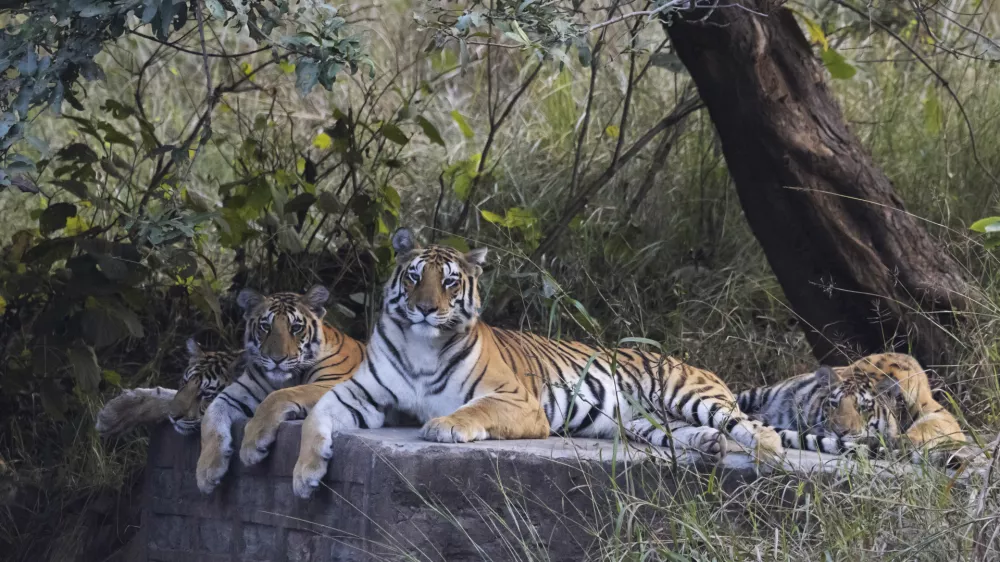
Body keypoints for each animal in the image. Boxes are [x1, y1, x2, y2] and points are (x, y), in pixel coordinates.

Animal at [196, 285, 365, 494]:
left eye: (296, 328)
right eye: (265, 327)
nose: (277, 359)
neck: (287, 378)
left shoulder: (333, 382)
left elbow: (277, 396)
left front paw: (252, 443)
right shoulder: (236, 393)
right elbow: (210, 417)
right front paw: (206, 470)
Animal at [291, 228, 783, 498]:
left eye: (449, 282)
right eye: (414, 277)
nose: (427, 309)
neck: (421, 345)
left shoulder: (517, 400)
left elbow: (474, 409)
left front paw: (444, 426)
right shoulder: (360, 394)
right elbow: (316, 416)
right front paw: (305, 475)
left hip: (686, 392)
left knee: (750, 425)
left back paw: (768, 456)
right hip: (643, 421)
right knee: (690, 433)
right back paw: (709, 446)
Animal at [736, 353, 966, 459]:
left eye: (863, 408)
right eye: (833, 404)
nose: (840, 432)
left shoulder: (940, 415)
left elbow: (928, 426)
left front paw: (904, 440)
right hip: (756, 394)